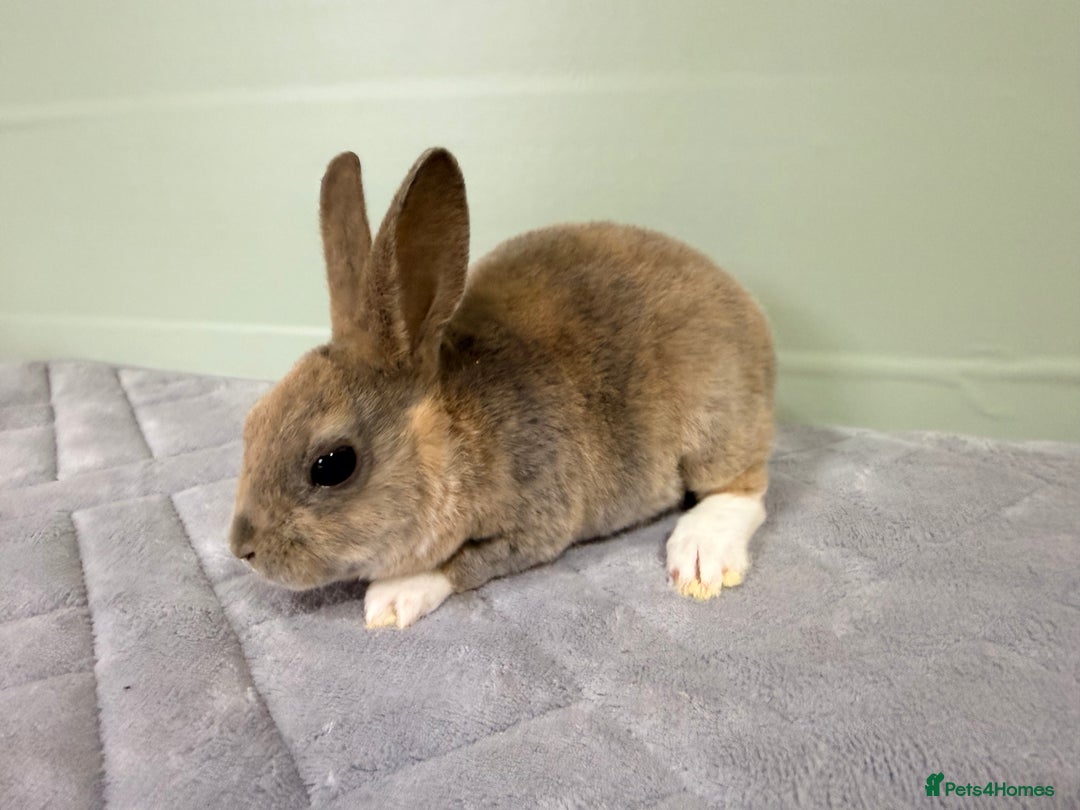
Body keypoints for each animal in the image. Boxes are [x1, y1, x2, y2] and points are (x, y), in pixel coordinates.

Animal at [229, 147, 775, 629]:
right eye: (252, 422)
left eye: (333, 465)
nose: (242, 549)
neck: (453, 437)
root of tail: (746, 306)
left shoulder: (538, 523)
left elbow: (458, 564)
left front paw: (391, 599)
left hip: (716, 422)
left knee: (743, 490)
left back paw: (702, 558)